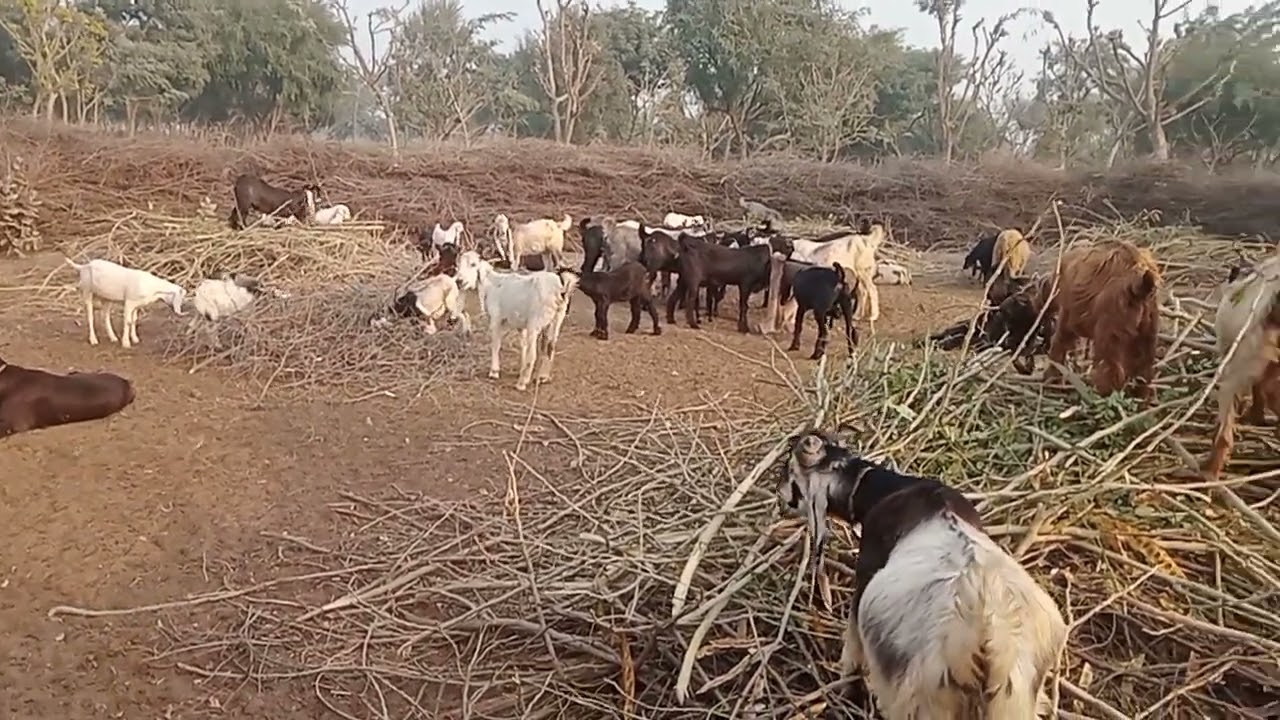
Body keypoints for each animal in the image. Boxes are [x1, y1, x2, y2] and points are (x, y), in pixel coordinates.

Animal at [455, 250, 578, 391]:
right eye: (458, 265)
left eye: (473, 264)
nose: (459, 281)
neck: (491, 284)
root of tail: (560, 290)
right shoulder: (521, 326)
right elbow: (522, 345)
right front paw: (521, 368)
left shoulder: (496, 319)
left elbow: (496, 344)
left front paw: (494, 372)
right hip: (556, 321)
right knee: (550, 347)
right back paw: (543, 377)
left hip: (535, 322)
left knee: (533, 353)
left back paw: (522, 383)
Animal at [1042, 240, 1162, 399]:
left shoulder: (1067, 313)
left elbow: (1059, 343)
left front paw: (1050, 378)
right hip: (1147, 332)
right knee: (1144, 370)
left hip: (1110, 331)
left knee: (1111, 369)